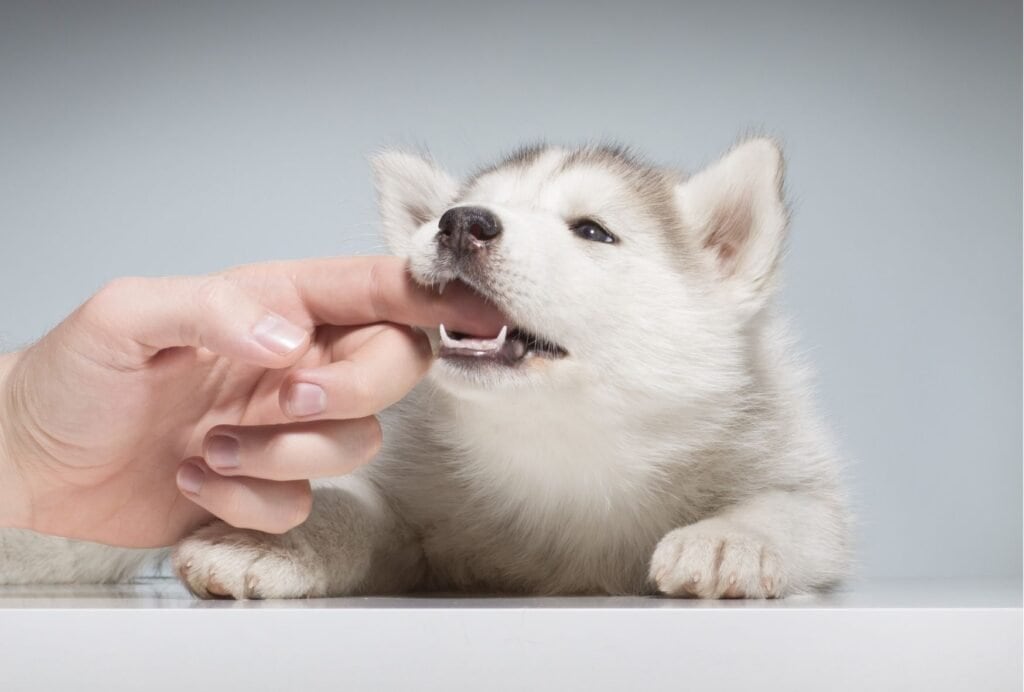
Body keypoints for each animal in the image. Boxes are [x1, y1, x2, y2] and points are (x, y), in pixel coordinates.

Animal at [172, 138, 851, 597]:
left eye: (593, 231)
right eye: (456, 210)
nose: (458, 223)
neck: (566, 446)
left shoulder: (799, 473)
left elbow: (789, 509)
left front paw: (729, 539)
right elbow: (353, 508)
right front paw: (276, 540)